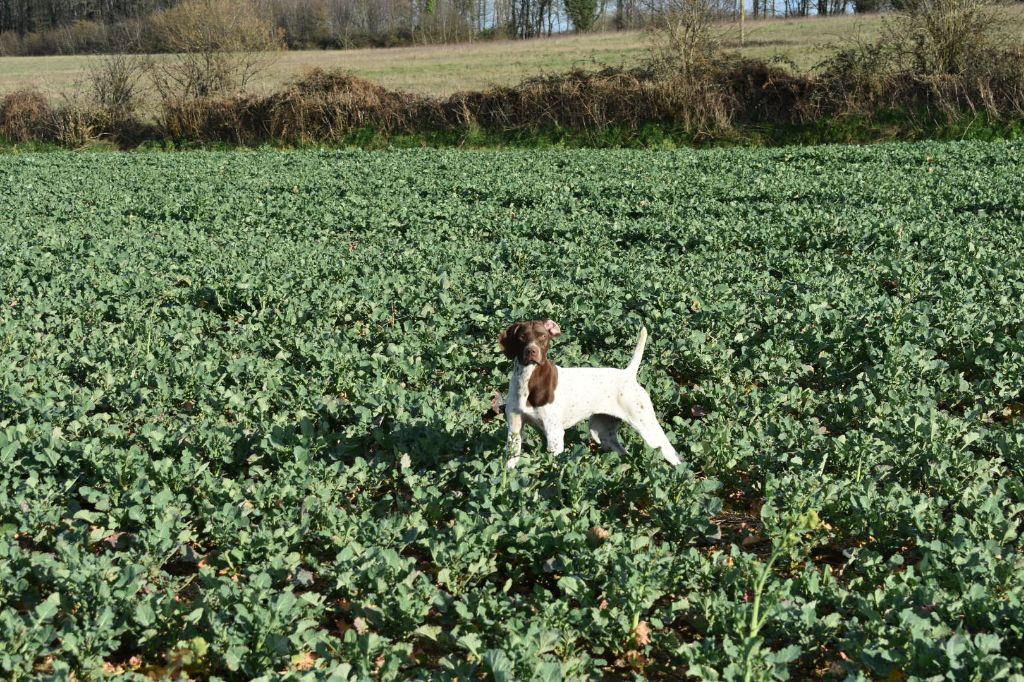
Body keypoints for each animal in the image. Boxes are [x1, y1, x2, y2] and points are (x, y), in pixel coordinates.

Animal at [495, 319, 679, 466]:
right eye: (522, 338)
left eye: (542, 337)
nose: (532, 351)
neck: (528, 379)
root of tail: (628, 374)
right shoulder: (514, 430)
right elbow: (511, 462)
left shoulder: (554, 434)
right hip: (602, 433)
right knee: (623, 453)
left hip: (648, 428)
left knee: (674, 456)